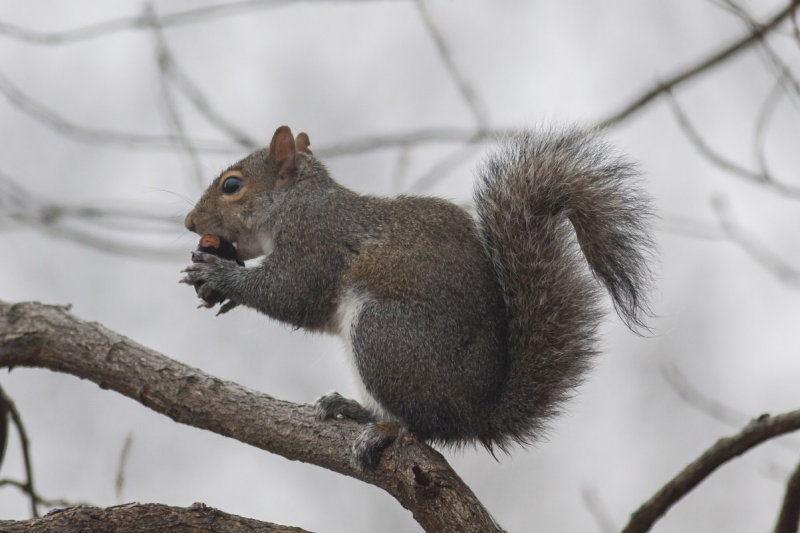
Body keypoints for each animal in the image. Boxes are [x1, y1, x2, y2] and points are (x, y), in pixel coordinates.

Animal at [183, 123, 656, 466]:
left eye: (231, 186)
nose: (190, 222)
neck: (294, 201)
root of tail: (477, 413)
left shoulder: (315, 241)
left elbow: (290, 293)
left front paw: (222, 275)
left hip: (383, 335)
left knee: (427, 426)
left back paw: (384, 430)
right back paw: (354, 409)